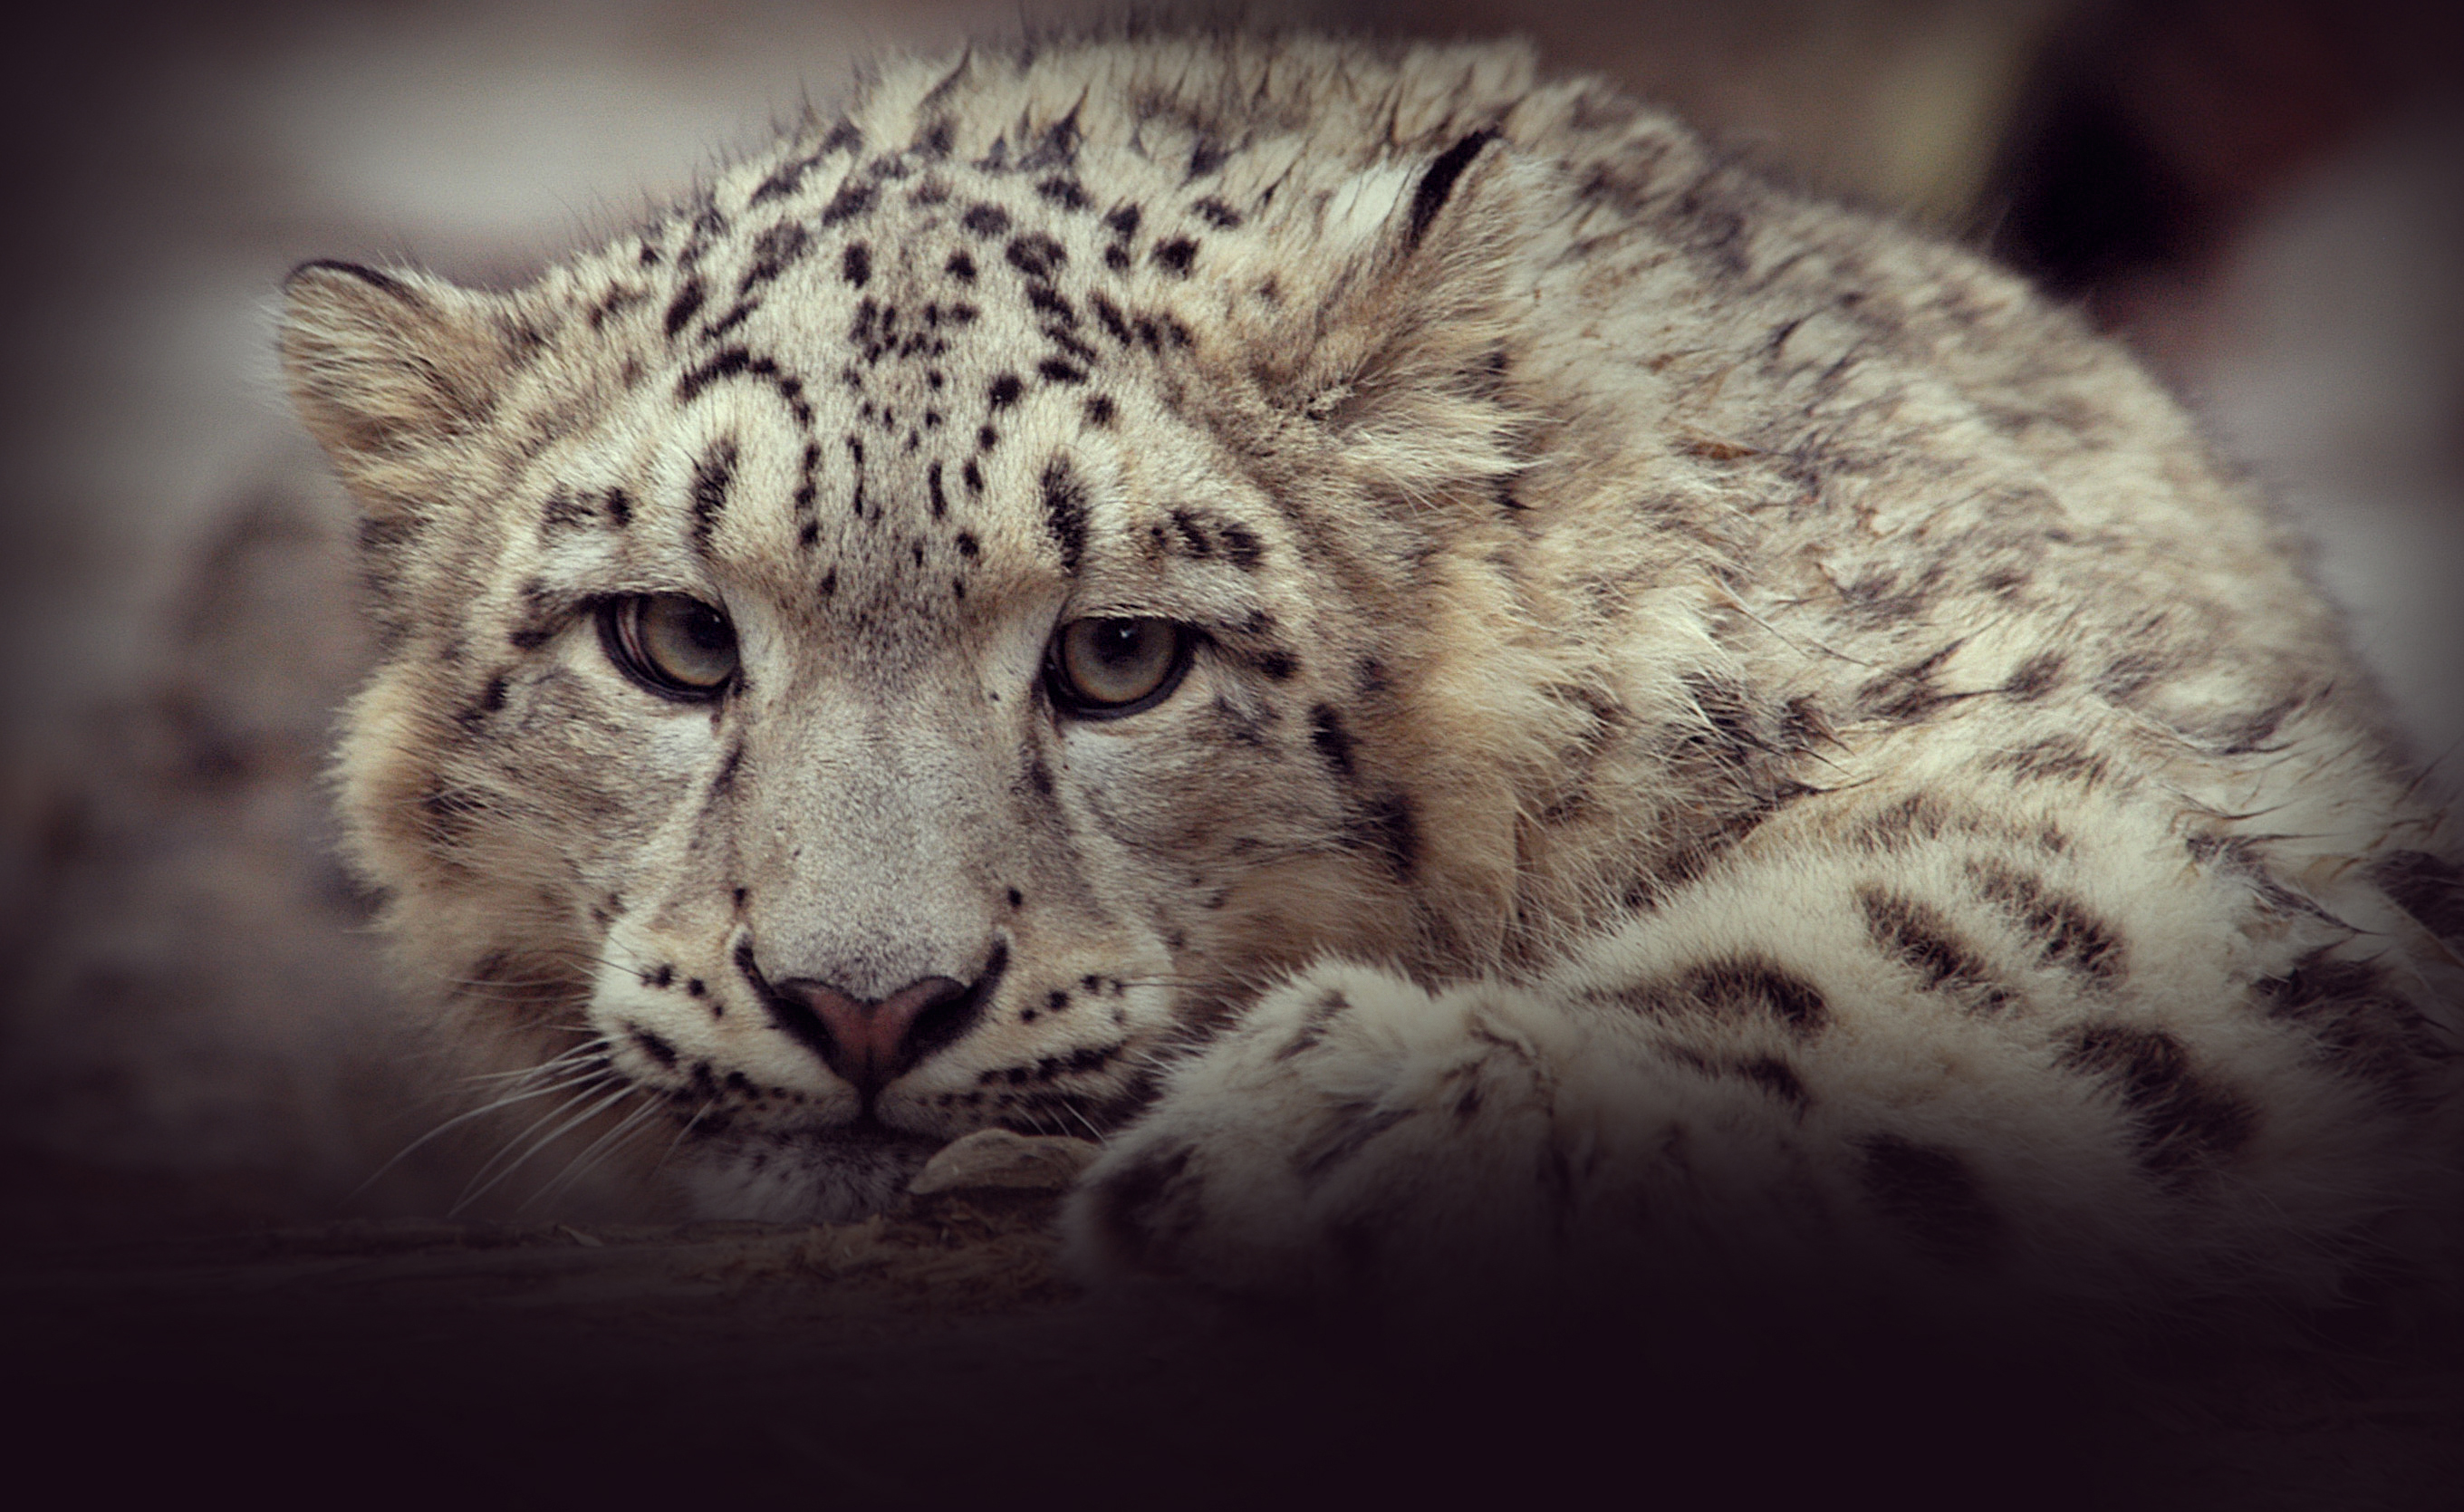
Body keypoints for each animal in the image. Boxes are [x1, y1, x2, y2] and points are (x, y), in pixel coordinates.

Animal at [279, 30, 2463, 1339]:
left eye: (1122, 652)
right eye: (667, 637)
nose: (865, 1002)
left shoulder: (2200, 782)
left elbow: (1966, 922)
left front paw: (1385, 1128)